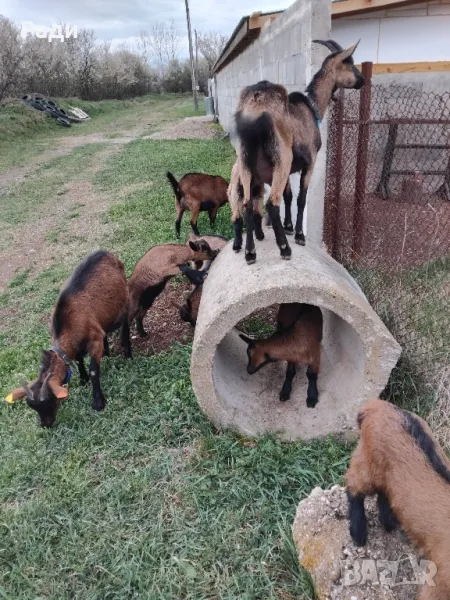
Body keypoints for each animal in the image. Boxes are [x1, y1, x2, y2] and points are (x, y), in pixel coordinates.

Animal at [5, 251, 131, 427]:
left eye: (50, 400)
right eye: (32, 406)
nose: (46, 424)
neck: (70, 322)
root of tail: (105, 252)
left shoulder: (94, 339)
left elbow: (94, 370)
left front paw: (98, 402)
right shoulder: (79, 342)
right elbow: (78, 360)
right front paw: (83, 379)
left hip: (124, 297)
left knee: (126, 321)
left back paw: (128, 351)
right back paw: (106, 353)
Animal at [232, 39, 364, 264]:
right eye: (350, 62)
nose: (362, 81)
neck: (312, 108)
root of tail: (256, 105)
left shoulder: (287, 170)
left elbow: (289, 195)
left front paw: (289, 226)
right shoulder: (310, 160)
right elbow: (301, 197)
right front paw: (299, 235)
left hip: (246, 163)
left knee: (249, 204)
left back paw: (250, 252)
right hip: (281, 158)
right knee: (271, 203)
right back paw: (284, 248)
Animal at [345, 398, 450, 600]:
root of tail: (377, 405)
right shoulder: (441, 579)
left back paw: (388, 521)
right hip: (369, 462)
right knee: (354, 485)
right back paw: (358, 531)